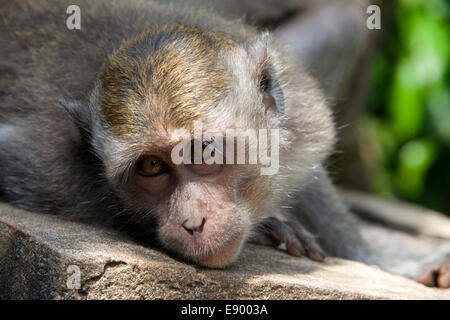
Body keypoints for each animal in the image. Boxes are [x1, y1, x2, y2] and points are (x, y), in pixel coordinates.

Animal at [0, 0, 448, 288]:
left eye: (205, 150)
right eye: (151, 167)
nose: (192, 222)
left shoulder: (301, 115)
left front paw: (387, 260)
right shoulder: (48, 170)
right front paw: (271, 228)